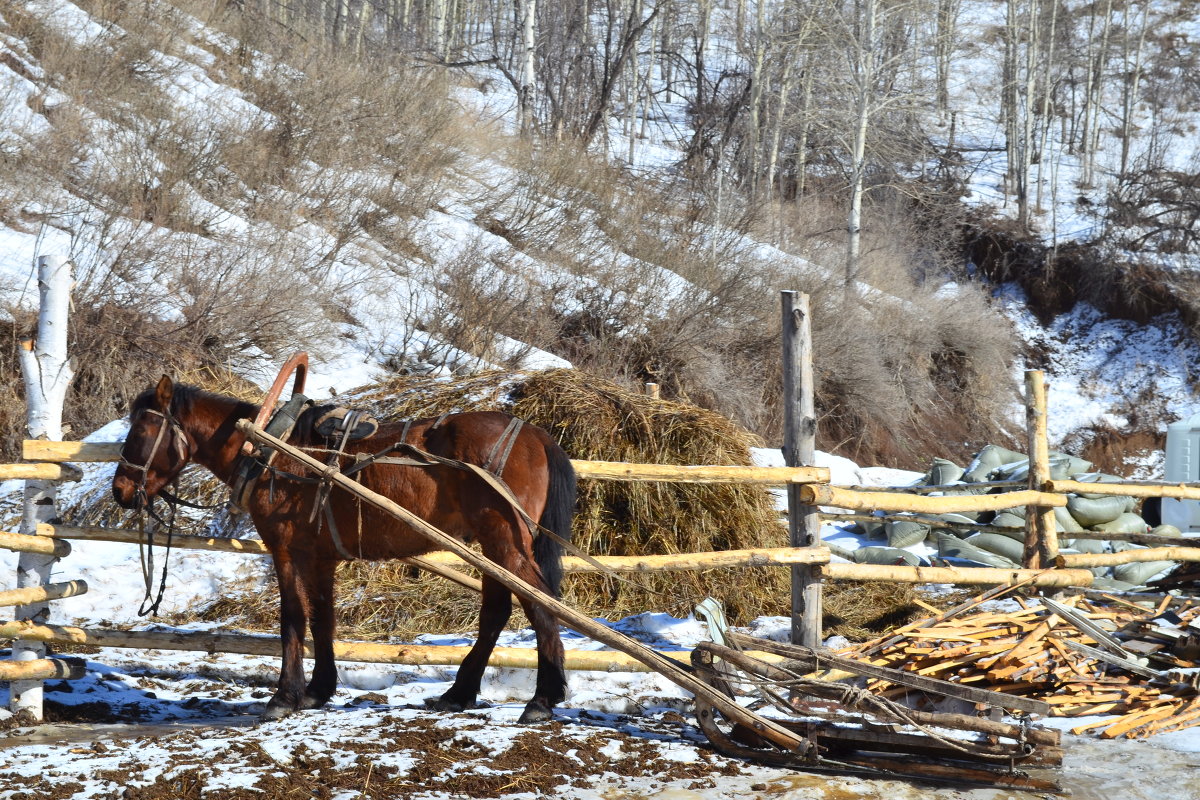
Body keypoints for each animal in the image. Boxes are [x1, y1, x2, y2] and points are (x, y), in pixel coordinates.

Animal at [112, 379, 576, 724]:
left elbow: (293, 618)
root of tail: (536, 434)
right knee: (497, 611)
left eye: (141, 431)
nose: (120, 491)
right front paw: (318, 689)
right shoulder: (320, 556)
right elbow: (322, 618)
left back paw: (542, 699)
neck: (275, 450)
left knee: (540, 604)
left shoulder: (285, 549)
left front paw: (285, 696)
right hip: (493, 546)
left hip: (505, 541)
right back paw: (459, 693)